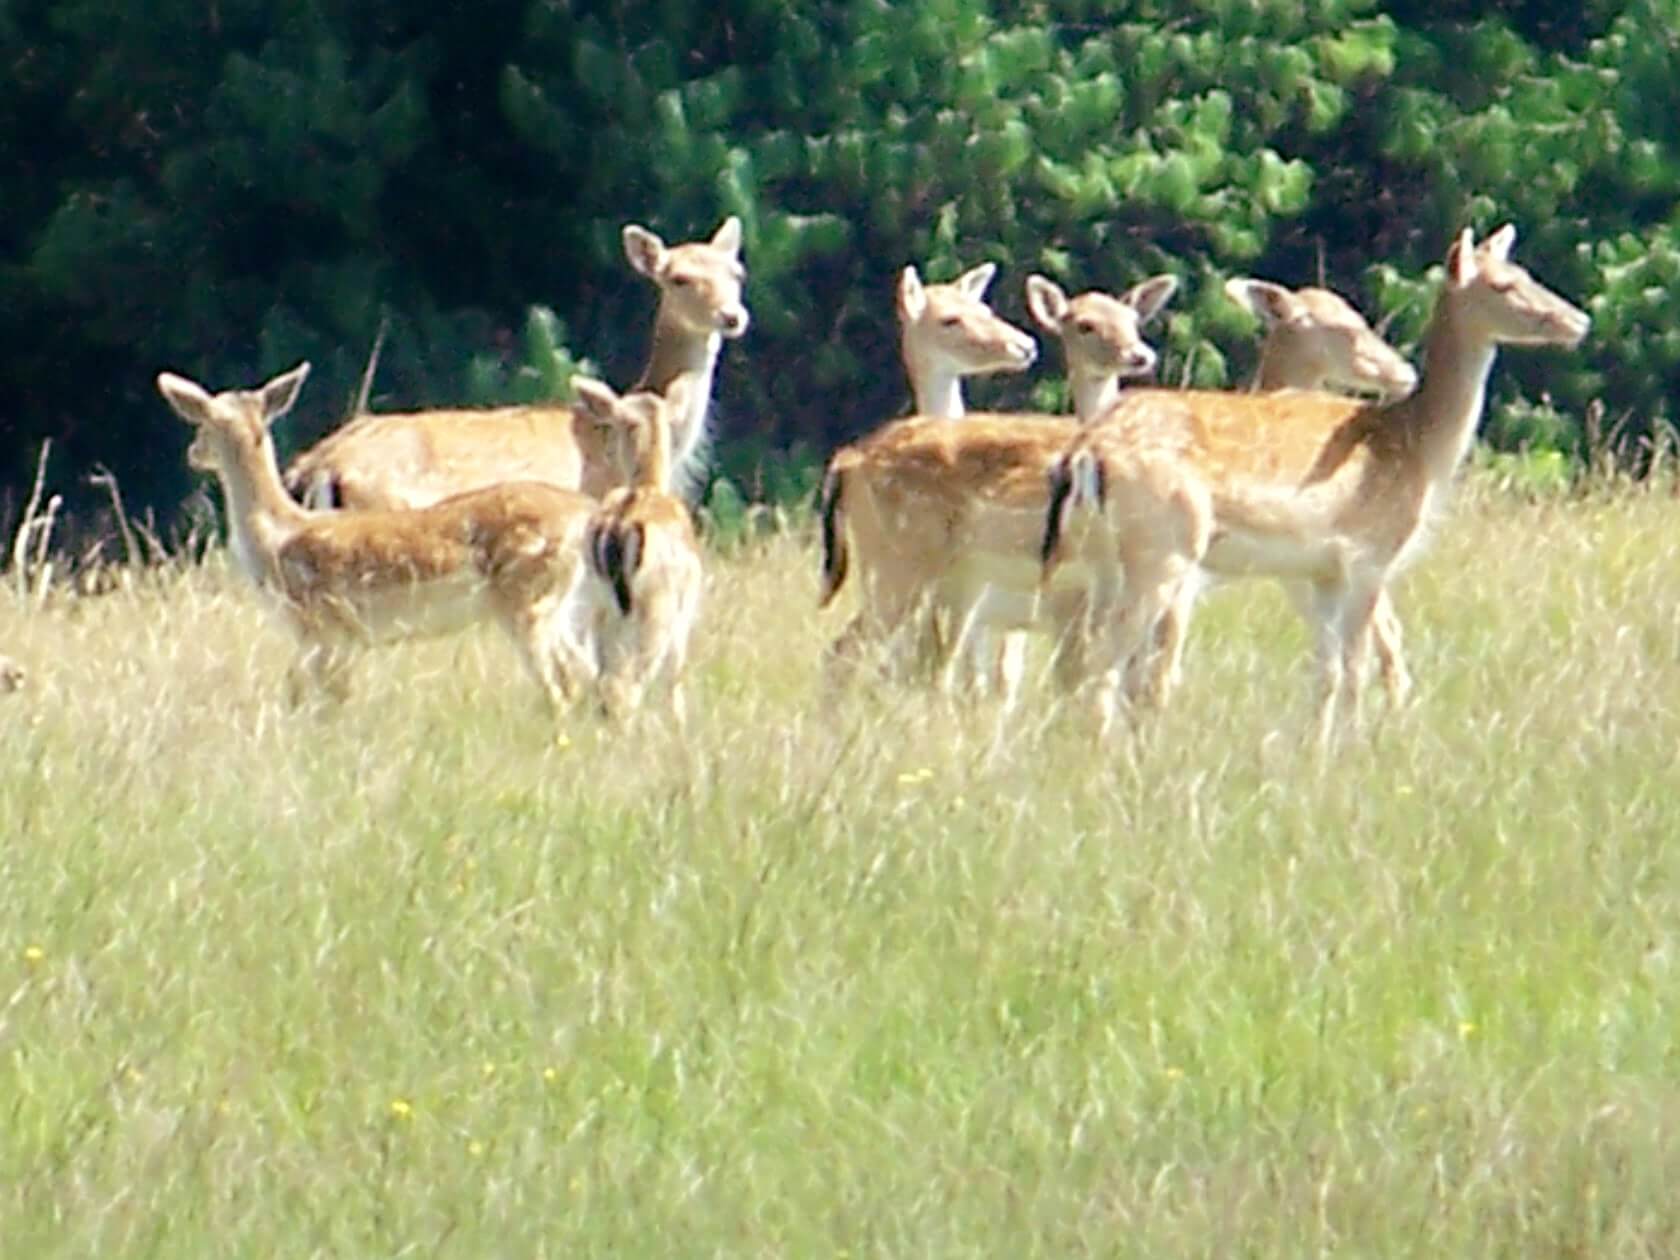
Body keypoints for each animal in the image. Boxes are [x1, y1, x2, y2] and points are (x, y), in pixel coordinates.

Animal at [158, 363, 601, 713]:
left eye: (202, 422)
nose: (192, 451)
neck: (276, 536)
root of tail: (584, 512)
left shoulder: (325, 625)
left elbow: (324, 700)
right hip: (558, 602)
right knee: (586, 675)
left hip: (527, 598)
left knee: (560, 687)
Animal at [573, 375, 704, 724]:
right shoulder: (684, 615)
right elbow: (674, 683)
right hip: (656, 611)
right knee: (626, 687)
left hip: (590, 604)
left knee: (601, 681)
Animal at [1044, 225, 1590, 745]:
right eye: (1502, 285)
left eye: (1525, 272)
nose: (1579, 321)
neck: (1416, 448)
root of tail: (1088, 452)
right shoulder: (1368, 555)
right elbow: (1355, 670)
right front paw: (1351, 754)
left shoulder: (1319, 570)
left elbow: (1326, 673)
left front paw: (1316, 755)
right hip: (1165, 550)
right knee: (1105, 666)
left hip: (1101, 562)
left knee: (1086, 665)